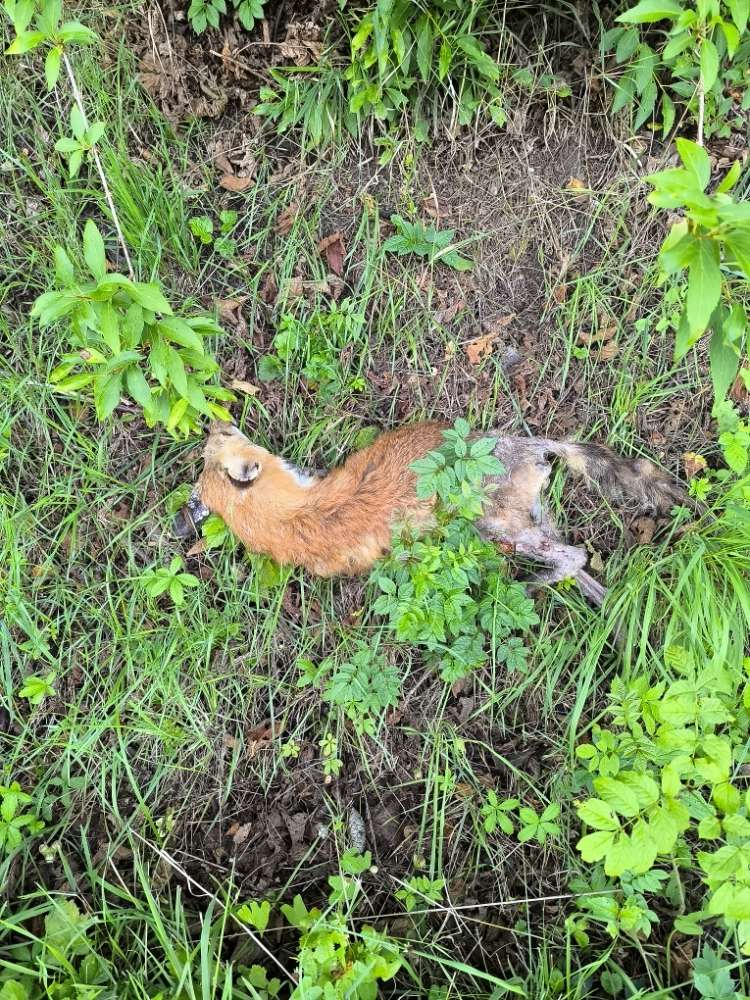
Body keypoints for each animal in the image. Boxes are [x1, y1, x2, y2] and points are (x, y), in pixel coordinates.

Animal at [173, 420, 685, 606]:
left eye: (223, 438)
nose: (213, 422)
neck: (288, 519)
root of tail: (530, 446)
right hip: (514, 524)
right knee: (575, 560)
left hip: (507, 524)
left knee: (574, 557)